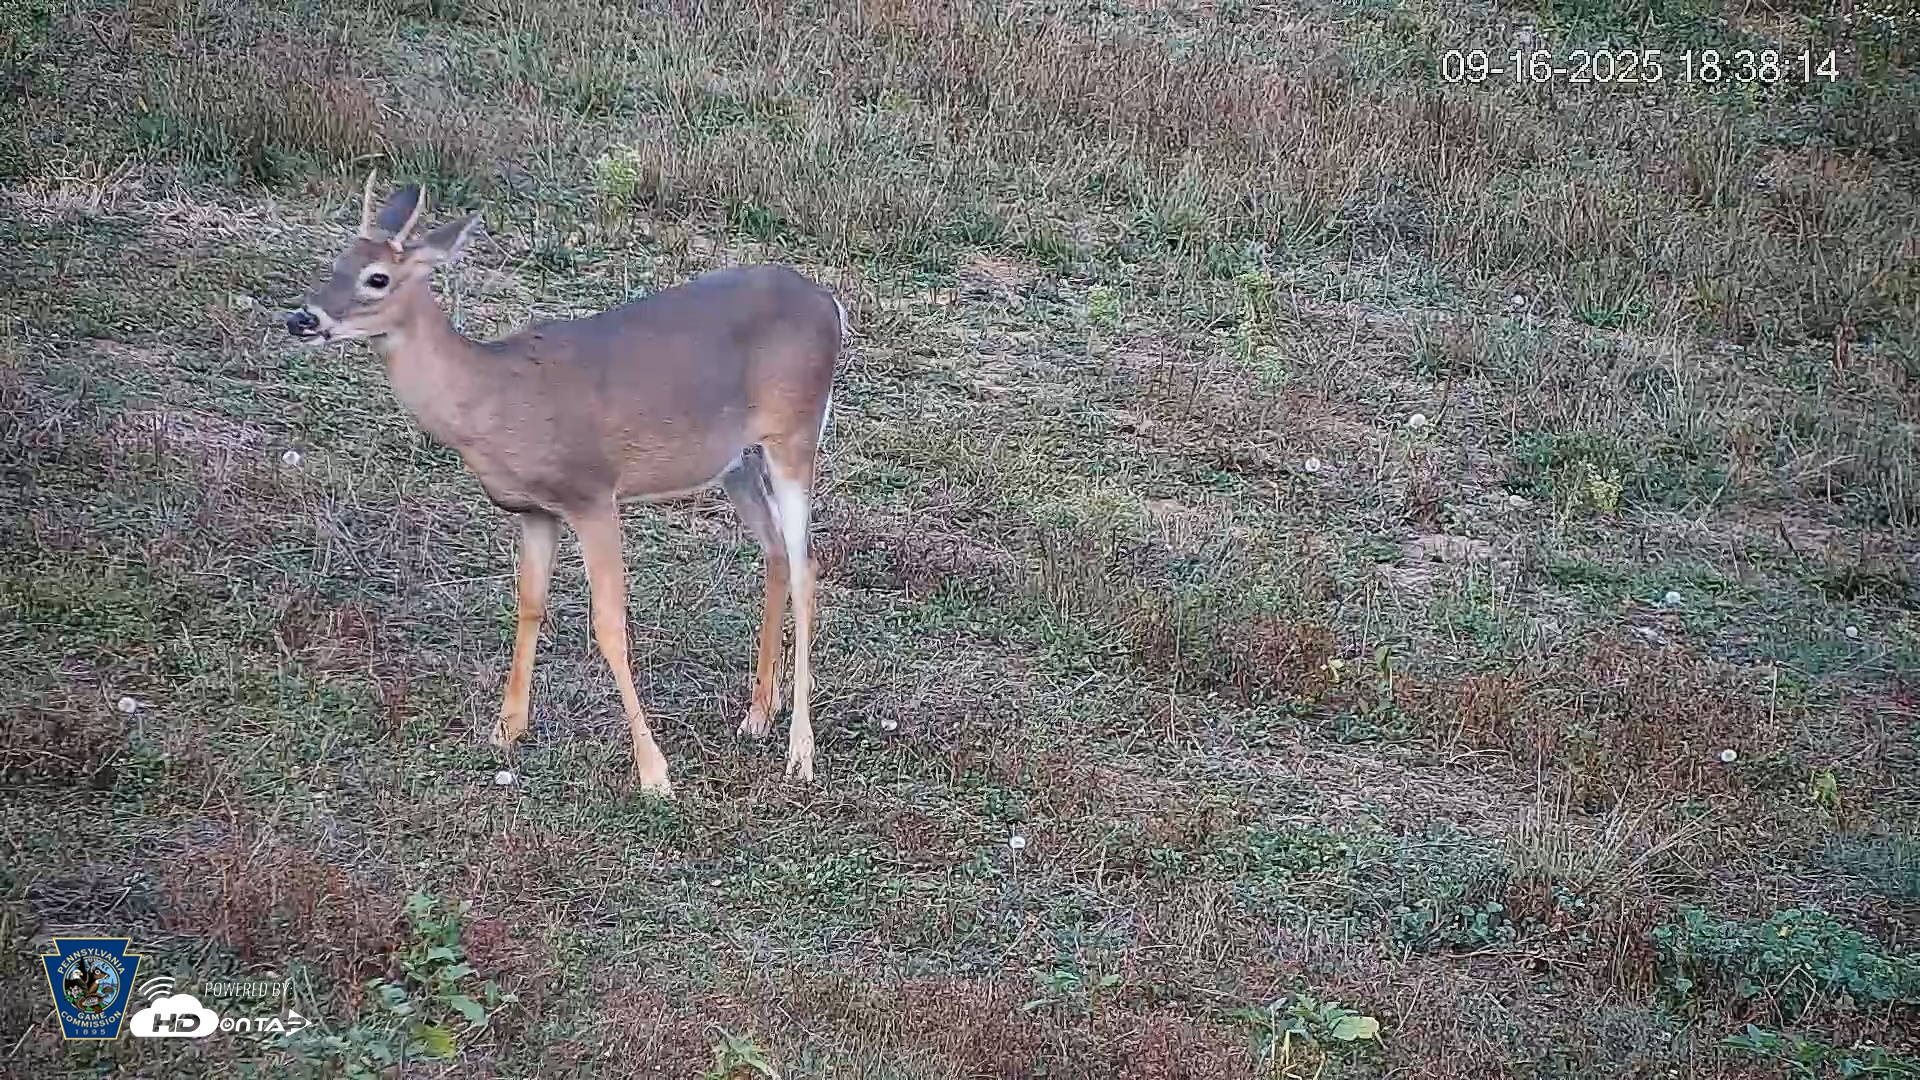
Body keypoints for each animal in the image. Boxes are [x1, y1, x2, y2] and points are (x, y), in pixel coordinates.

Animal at [284, 174, 845, 797]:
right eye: (335, 261)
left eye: (377, 277)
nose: (301, 319)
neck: (492, 402)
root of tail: (830, 304)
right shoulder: (535, 510)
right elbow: (530, 604)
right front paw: (506, 729)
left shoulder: (592, 493)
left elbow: (608, 624)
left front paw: (654, 771)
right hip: (737, 461)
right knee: (776, 552)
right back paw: (757, 715)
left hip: (794, 433)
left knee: (807, 565)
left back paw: (800, 753)